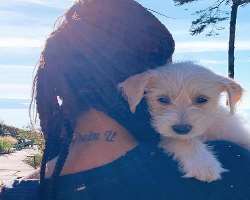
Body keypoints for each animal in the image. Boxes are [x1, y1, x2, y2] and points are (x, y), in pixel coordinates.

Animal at [118, 62, 250, 183]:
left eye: (202, 99)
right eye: (163, 99)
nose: (182, 129)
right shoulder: (170, 136)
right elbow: (183, 141)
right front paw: (203, 164)